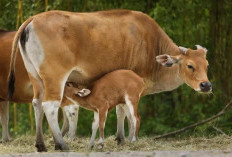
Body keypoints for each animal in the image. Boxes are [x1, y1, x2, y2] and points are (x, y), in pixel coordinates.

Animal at [8, 9, 212, 151]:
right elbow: (126, 111)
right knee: (50, 105)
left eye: (207, 64)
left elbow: (119, 110)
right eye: (190, 65)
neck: (151, 45)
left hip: (35, 77)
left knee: (37, 104)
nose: (206, 85)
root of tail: (33, 19)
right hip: (54, 77)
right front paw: (127, 138)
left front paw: (120, 138)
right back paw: (61, 144)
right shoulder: (130, 83)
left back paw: (40, 144)